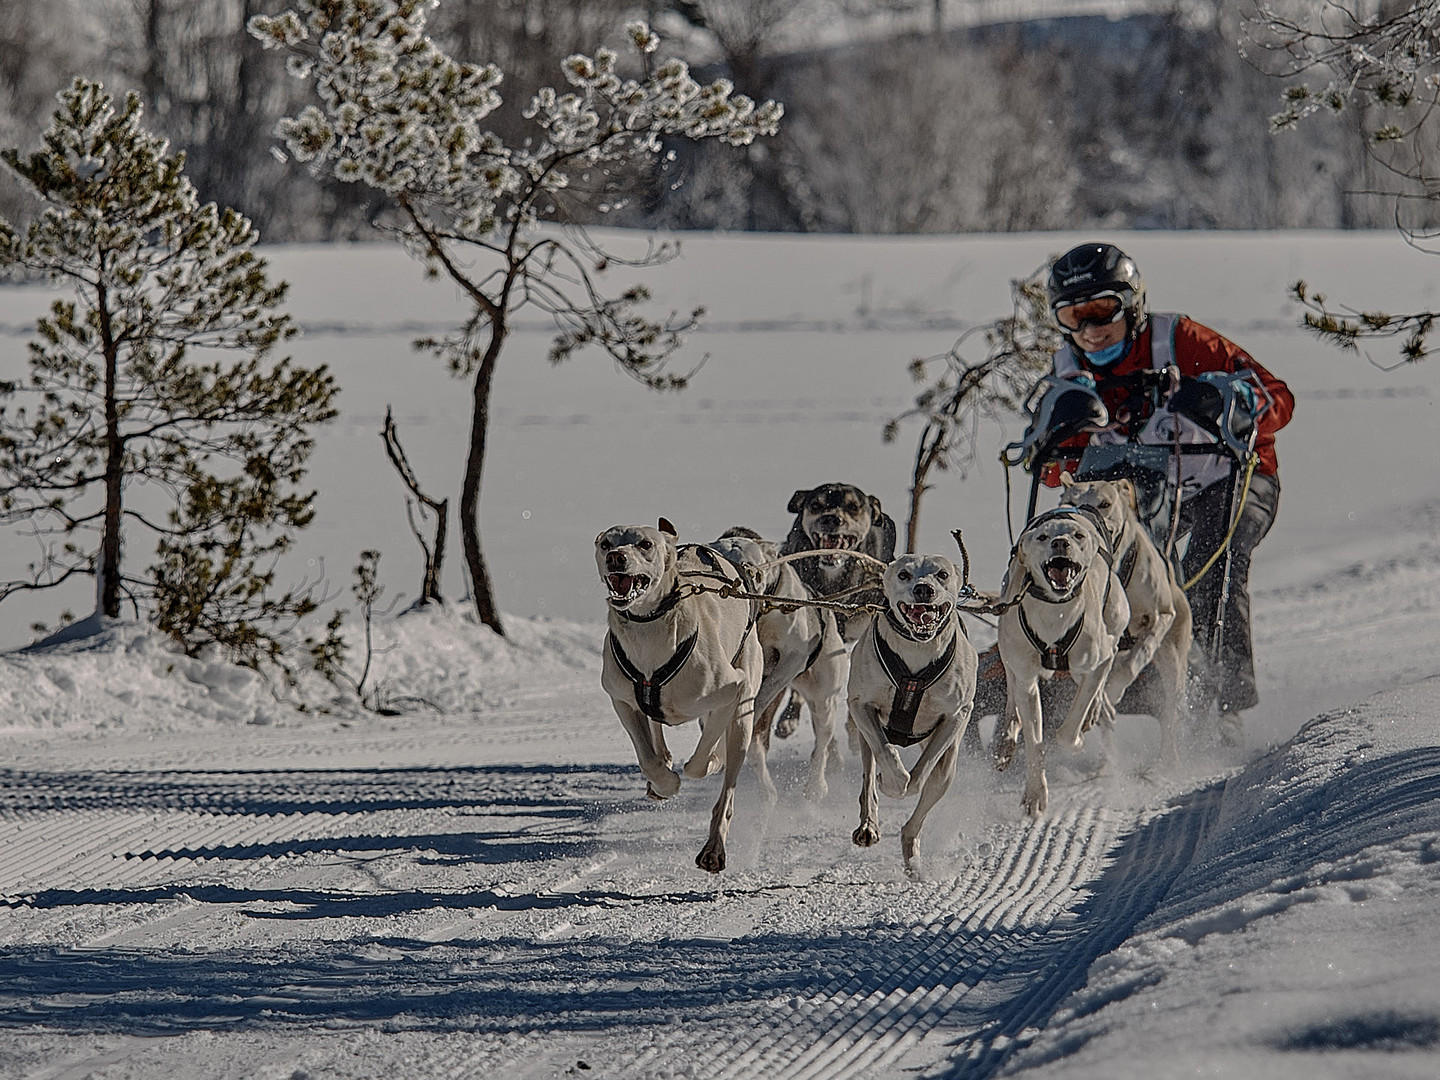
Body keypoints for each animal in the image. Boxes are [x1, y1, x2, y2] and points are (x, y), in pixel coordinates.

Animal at [705, 529, 846, 806]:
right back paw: (766, 791)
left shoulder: (793, 657)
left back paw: (816, 786)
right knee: (755, 749)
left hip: (823, 694)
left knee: (822, 740)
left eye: (750, 566)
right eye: (720, 564)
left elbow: (765, 693)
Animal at [840, 552, 979, 875]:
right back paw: (869, 825)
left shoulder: (956, 715)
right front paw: (892, 782)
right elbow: (887, 754)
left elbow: (921, 773)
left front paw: (904, 784)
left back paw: (911, 854)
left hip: (947, 771)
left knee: (921, 809)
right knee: (868, 778)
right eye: (904, 574)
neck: (918, 651)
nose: (923, 589)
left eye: (942, 574)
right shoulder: (861, 706)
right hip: (865, 736)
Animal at [996, 512, 1128, 817]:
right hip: (1008, 650)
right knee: (1011, 694)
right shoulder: (1027, 680)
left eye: (1077, 535)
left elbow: (1068, 731)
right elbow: (1034, 741)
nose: (1060, 542)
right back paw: (1007, 740)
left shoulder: (1097, 660)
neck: (1054, 613)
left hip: (1109, 631)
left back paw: (1095, 713)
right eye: (1043, 537)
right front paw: (1035, 794)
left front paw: (1077, 740)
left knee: (1103, 681)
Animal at [1059, 478, 1192, 766]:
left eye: (1105, 503)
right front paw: (1099, 707)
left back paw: (1169, 758)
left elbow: (1135, 661)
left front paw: (1114, 690)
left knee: (1170, 711)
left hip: (1173, 660)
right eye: (1070, 503)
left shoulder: (1160, 617)